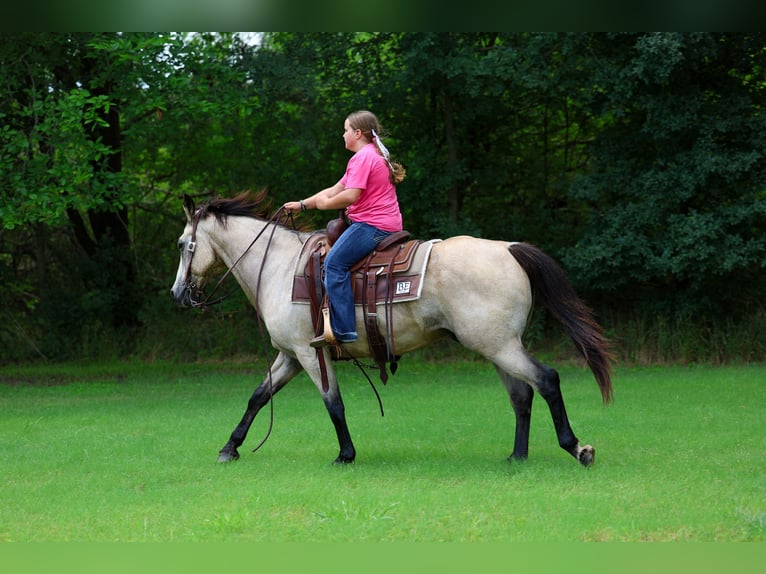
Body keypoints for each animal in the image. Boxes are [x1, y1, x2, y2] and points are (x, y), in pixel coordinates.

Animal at [170, 190, 614, 468]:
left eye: (181, 244)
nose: (177, 293)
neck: (279, 267)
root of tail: (508, 248)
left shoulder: (310, 353)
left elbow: (333, 403)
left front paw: (345, 454)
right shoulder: (290, 356)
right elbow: (258, 397)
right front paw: (230, 448)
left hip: (500, 346)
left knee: (547, 380)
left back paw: (577, 448)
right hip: (496, 346)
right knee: (522, 396)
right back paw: (517, 456)